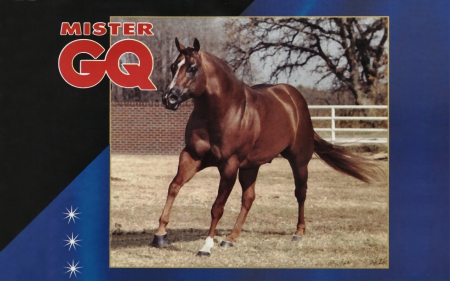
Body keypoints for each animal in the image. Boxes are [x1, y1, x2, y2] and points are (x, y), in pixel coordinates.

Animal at [152, 37, 380, 256]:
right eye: (173, 66)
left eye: (192, 67)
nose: (169, 98)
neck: (225, 110)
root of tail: (294, 99)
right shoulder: (192, 156)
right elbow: (174, 187)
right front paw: (160, 234)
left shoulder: (228, 165)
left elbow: (217, 206)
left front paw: (206, 246)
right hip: (250, 166)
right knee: (249, 198)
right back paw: (231, 238)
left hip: (299, 160)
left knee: (300, 192)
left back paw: (298, 233)